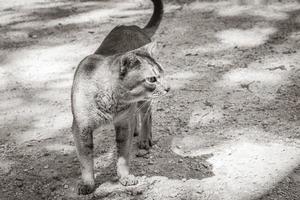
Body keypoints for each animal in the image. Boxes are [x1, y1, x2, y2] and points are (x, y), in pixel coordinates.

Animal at [71, 0, 168, 195]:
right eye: (152, 79)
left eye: (162, 75)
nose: (168, 88)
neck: (111, 102)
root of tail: (132, 26)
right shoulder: (81, 128)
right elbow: (86, 161)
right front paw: (88, 184)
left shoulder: (123, 124)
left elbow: (123, 156)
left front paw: (124, 177)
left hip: (145, 101)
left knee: (147, 115)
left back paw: (144, 139)